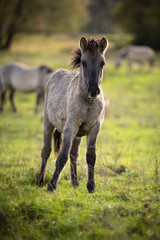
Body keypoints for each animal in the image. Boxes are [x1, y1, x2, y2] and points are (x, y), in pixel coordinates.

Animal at [37, 36, 108, 192]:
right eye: (83, 62)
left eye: (102, 63)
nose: (93, 90)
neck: (87, 102)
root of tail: (56, 73)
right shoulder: (70, 127)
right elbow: (62, 156)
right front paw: (51, 185)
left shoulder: (94, 128)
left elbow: (90, 156)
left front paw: (91, 187)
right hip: (48, 124)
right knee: (46, 151)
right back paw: (40, 181)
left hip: (78, 134)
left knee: (74, 154)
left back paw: (75, 183)